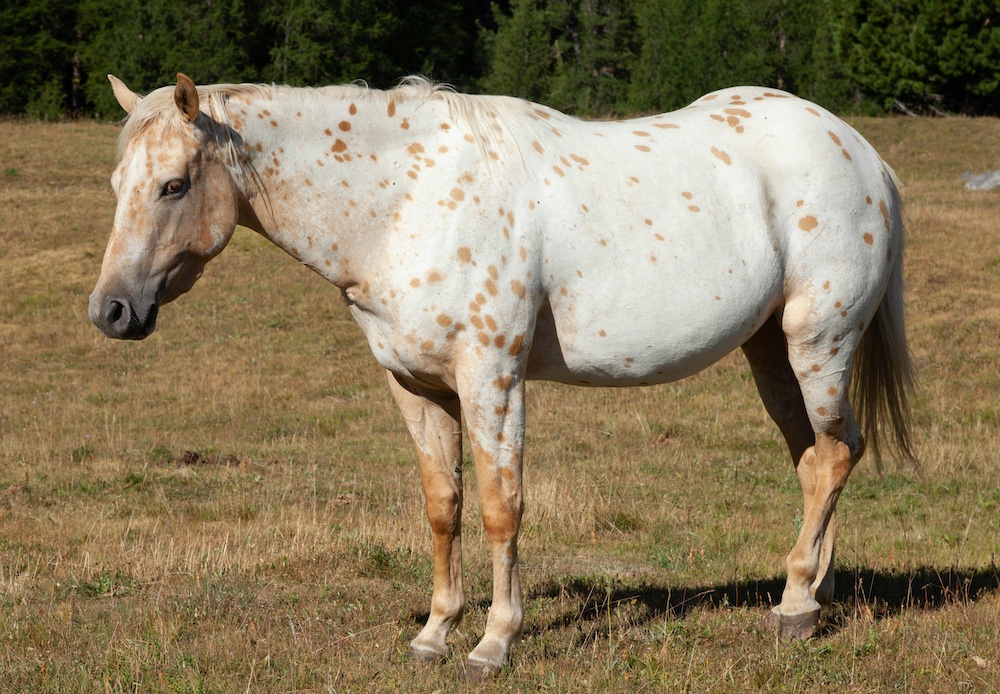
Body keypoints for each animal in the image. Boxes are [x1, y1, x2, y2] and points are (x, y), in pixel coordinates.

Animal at [90, 73, 914, 675]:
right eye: (116, 184)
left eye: (172, 185)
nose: (111, 311)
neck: (407, 205)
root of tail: (862, 153)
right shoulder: (415, 385)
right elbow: (443, 506)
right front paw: (434, 633)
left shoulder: (492, 378)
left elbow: (499, 507)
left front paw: (494, 642)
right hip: (769, 352)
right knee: (815, 458)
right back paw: (812, 591)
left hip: (818, 342)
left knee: (834, 453)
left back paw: (796, 608)